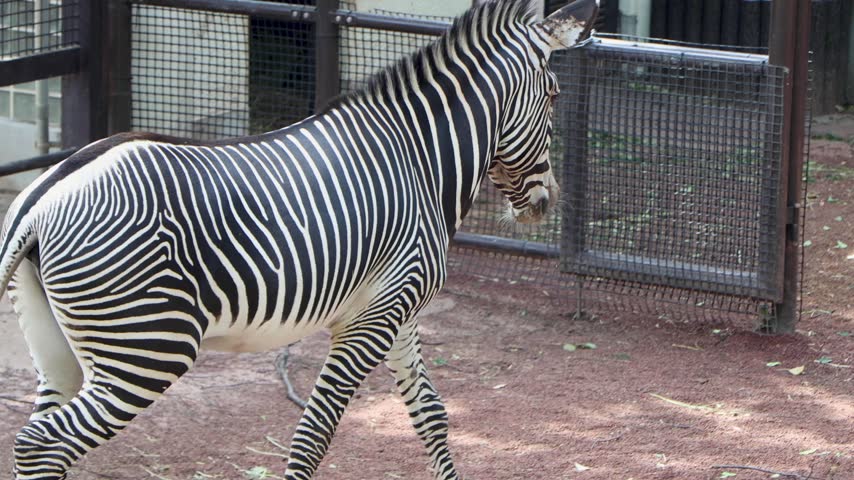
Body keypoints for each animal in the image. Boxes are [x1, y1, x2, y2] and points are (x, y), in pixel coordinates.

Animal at [0, 0, 597, 478]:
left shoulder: (401, 309)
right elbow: (315, 434)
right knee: (42, 442)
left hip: (58, 348)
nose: (547, 202)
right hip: (149, 346)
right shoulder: (369, 320)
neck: (418, 159)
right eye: (554, 95)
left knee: (41, 439)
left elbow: (431, 414)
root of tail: (42, 198)